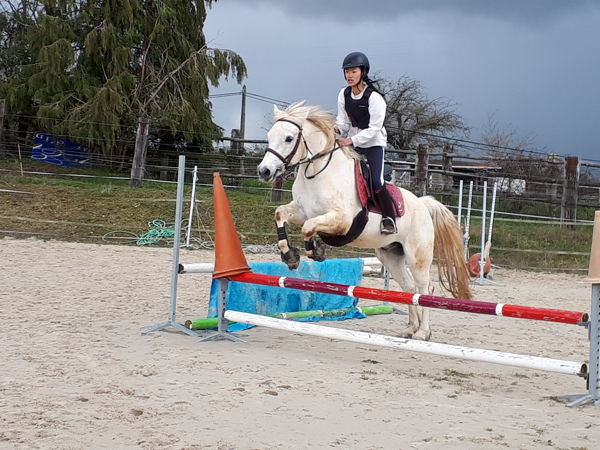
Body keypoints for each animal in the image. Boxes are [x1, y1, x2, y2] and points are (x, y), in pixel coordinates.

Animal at [255, 103, 472, 342]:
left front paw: (315, 251)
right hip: (390, 255)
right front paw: (291, 256)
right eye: (269, 136)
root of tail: (423, 204)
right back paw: (410, 328)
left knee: (424, 289)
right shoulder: (301, 211)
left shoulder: (342, 220)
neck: (318, 173)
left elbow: (308, 227)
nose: (264, 171)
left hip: (418, 257)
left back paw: (423, 332)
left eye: (289, 138)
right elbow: (281, 214)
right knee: (408, 288)